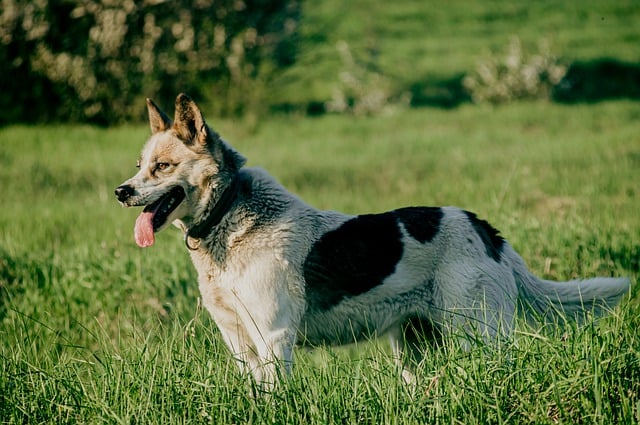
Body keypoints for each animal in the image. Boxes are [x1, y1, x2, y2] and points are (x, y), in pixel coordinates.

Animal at [115, 93, 632, 388]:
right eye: (139, 166)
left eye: (161, 167)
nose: (121, 191)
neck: (230, 217)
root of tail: (487, 230)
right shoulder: (239, 341)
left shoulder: (274, 337)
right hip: (416, 348)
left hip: (477, 332)